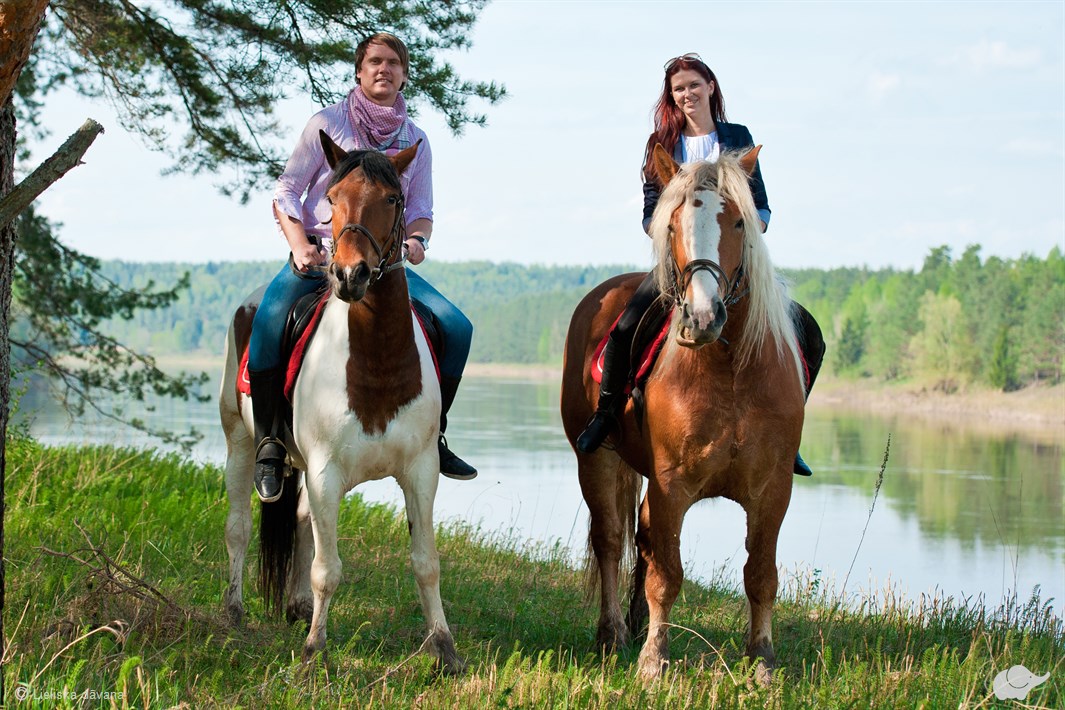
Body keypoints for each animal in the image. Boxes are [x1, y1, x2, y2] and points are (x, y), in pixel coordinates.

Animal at [218, 133, 463, 673]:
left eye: (393, 199)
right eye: (331, 198)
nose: (350, 274)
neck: (376, 363)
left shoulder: (421, 471)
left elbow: (427, 563)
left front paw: (444, 646)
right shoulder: (326, 472)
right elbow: (327, 568)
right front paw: (314, 651)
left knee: (300, 520)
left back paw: (294, 607)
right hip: (240, 441)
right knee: (239, 527)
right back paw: (234, 610)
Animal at [560, 144, 804, 682]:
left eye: (739, 222)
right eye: (672, 224)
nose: (703, 317)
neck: (729, 371)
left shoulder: (773, 489)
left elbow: (761, 575)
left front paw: (762, 661)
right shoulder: (672, 485)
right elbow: (667, 575)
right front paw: (654, 661)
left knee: (642, 541)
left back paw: (633, 625)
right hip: (597, 458)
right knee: (611, 540)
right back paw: (613, 634)